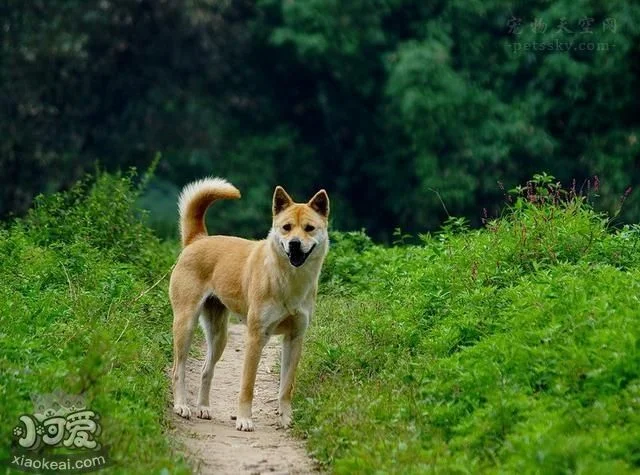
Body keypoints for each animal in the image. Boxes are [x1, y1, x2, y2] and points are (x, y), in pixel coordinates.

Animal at [170, 178, 330, 432]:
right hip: (185, 324)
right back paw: (181, 406)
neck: (288, 280)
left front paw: (286, 418)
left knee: (206, 370)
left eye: (309, 228)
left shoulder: (294, 338)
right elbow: (247, 386)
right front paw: (244, 419)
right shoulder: (256, 337)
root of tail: (198, 239)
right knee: (178, 369)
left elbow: (286, 387)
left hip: (219, 336)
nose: (294, 244)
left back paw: (203, 408)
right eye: (286, 227)